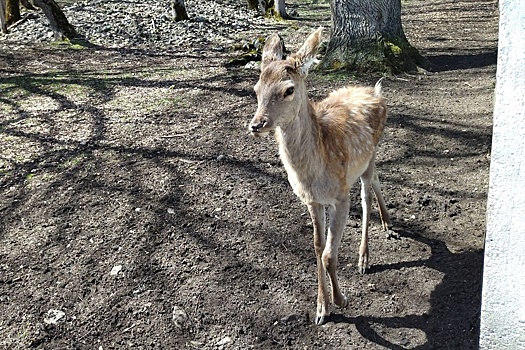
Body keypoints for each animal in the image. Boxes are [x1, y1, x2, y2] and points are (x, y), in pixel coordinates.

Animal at [249, 28, 388, 326]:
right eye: (256, 89)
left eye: (288, 89)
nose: (256, 124)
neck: (314, 174)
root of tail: (376, 91)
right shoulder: (311, 200)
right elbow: (317, 246)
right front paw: (321, 308)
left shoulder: (340, 195)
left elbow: (328, 254)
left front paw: (340, 301)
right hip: (366, 159)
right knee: (377, 179)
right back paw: (386, 220)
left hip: (369, 155)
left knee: (366, 196)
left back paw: (364, 258)